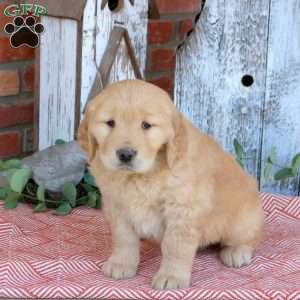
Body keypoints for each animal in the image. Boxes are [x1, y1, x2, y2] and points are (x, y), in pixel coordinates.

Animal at [78, 78, 264, 290]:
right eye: (110, 123)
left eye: (146, 125)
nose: (125, 154)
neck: (141, 175)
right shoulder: (117, 206)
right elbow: (123, 238)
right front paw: (121, 263)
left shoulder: (182, 209)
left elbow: (175, 246)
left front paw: (171, 276)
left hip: (240, 222)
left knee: (252, 236)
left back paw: (237, 252)